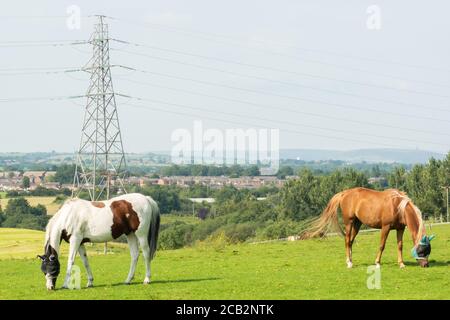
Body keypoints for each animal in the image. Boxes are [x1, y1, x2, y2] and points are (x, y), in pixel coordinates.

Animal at [302, 188, 432, 268]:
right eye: (421, 250)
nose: (426, 265)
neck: (397, 206)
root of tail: (344, 193)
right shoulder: (385, 227)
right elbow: (382, 245)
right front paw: (377, 263)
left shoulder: (400, 229)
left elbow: (400, 245)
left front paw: (401, 264)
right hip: (349, 222)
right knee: (347, 240)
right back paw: (349, 263)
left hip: (357, 224)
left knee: (351, 241)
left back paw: (350, 260)